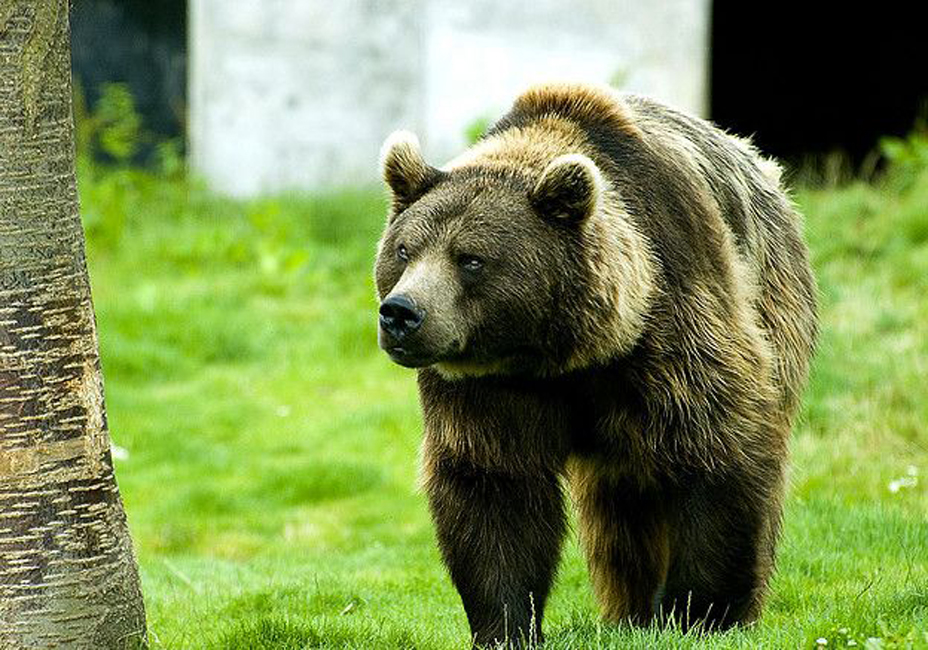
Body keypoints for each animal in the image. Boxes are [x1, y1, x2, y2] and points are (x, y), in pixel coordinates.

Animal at [374, 83, 818, 648]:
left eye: (470, 258)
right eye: (404, 250)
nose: (401, 313)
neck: (566, 354)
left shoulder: (672, 328)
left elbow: (718, 448)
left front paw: (701, 613)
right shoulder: (488, 385)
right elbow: (493, 484)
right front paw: (505, 625)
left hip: (775, 305)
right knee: (622, 507)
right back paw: (630, 608)